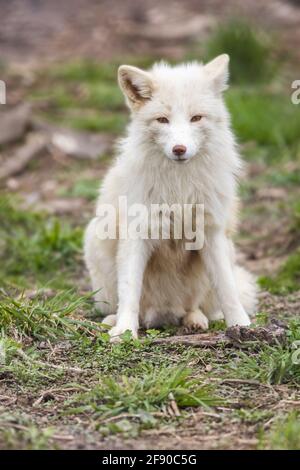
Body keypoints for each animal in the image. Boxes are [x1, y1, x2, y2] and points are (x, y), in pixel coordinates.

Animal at [84, 55, 258, 342]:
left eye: (196, 118)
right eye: (162, 120)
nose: (179, 149)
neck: (180, 189)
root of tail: (164, 314)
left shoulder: (211, 233)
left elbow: (228, 289)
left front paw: (243, 326)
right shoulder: (137, 233)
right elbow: (130, 291)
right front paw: (125, 330)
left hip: (225, 252)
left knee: (199, 307)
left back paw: (195, 320)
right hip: (95, 240)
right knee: (124, 306)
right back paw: (114, 321)